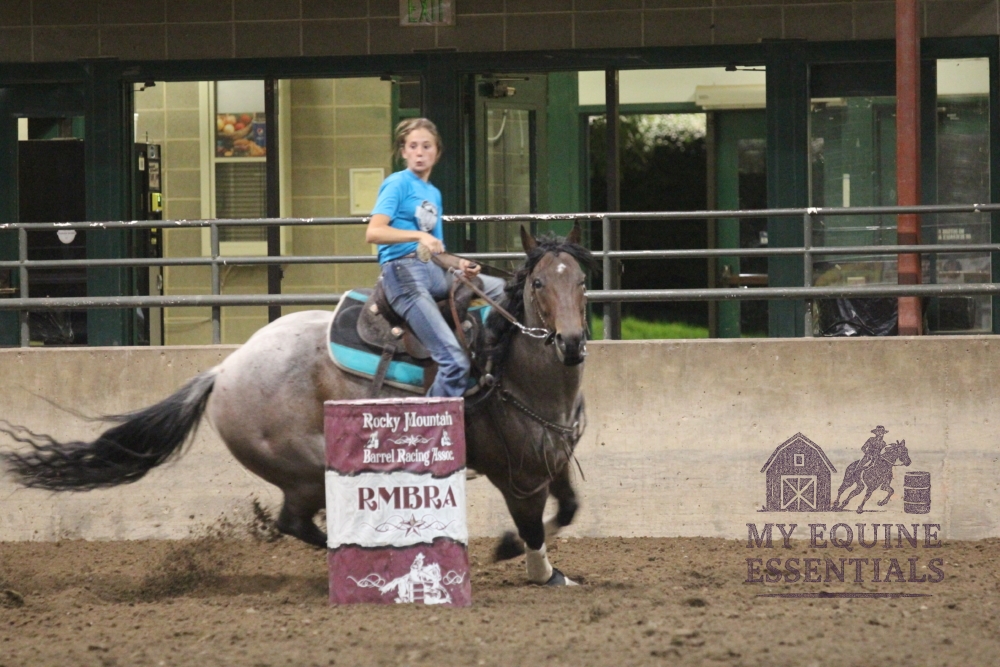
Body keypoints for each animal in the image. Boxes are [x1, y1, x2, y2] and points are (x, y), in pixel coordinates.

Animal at [0, 225, 594, 587]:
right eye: (538, 283)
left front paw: (526, 557)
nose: (569, 343)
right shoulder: (516, 477)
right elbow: (535, 526)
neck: (508, 364)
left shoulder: (552, 461)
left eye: (583, 281)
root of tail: (223, 371)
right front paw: (533, 565)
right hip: (306, 470)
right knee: (296, 522)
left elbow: (568, 508)